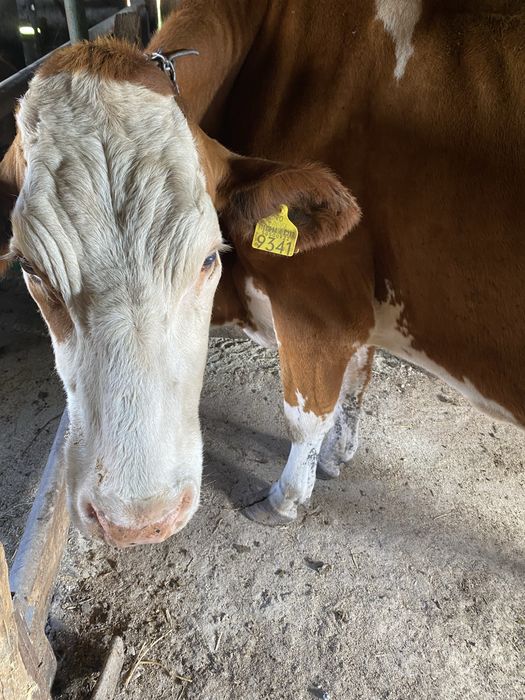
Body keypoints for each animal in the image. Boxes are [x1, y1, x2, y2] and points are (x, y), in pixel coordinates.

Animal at [1, 0, 524, 547]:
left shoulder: (319, 306)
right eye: (30, 269)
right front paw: (337, 457)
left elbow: (306, 413)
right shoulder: (357, 313)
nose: (138, 521)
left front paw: (285, 498)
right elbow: (357, 379)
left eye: (210, 258)